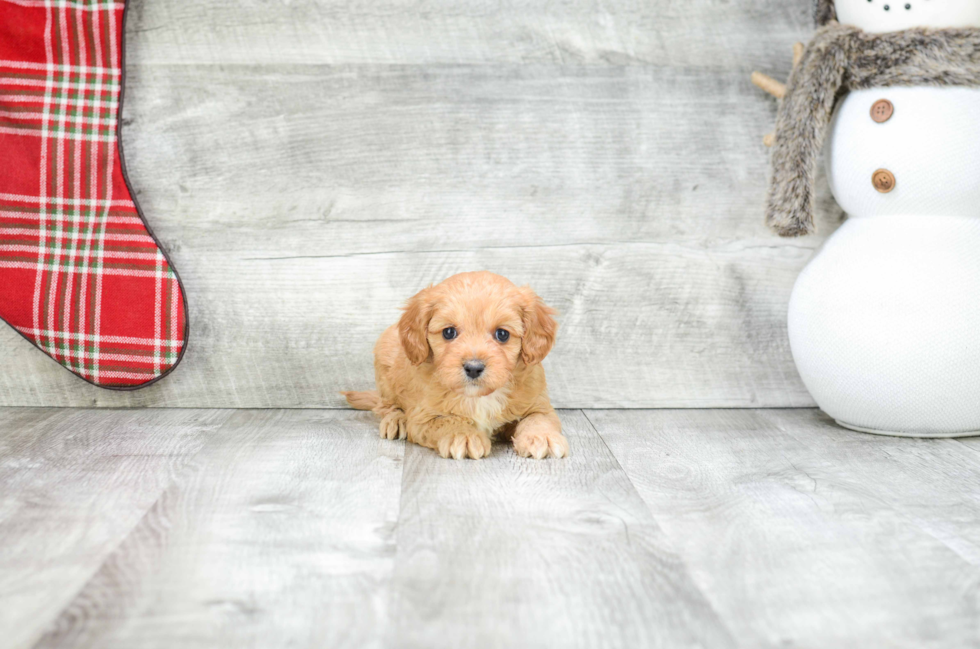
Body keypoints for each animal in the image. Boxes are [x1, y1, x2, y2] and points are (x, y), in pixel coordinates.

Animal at [342, 270, 568, 458]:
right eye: (449, 332)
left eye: (502, 334)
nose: (474, 368)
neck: (479, 398)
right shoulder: (423, 417)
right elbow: (448, 420)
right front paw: (464, 435)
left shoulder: (539, 404)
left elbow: (538, 418)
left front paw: (541, 437)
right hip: (385, 362)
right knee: (385, 405)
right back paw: (396, 420)